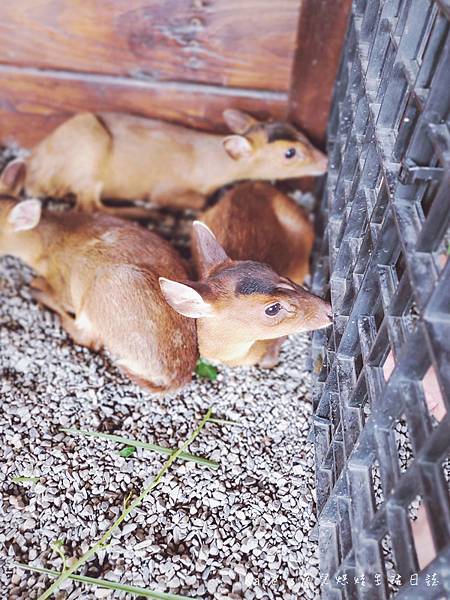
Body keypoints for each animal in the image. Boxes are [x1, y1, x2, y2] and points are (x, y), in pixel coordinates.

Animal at [0, 108, 326, 216]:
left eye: (298, 131)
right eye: (289, 153)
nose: (326, 161)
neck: (209, 164)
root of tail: (33, 167)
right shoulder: (167, 188)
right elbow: (195, 201)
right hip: (89, 149)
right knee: (89, 207)